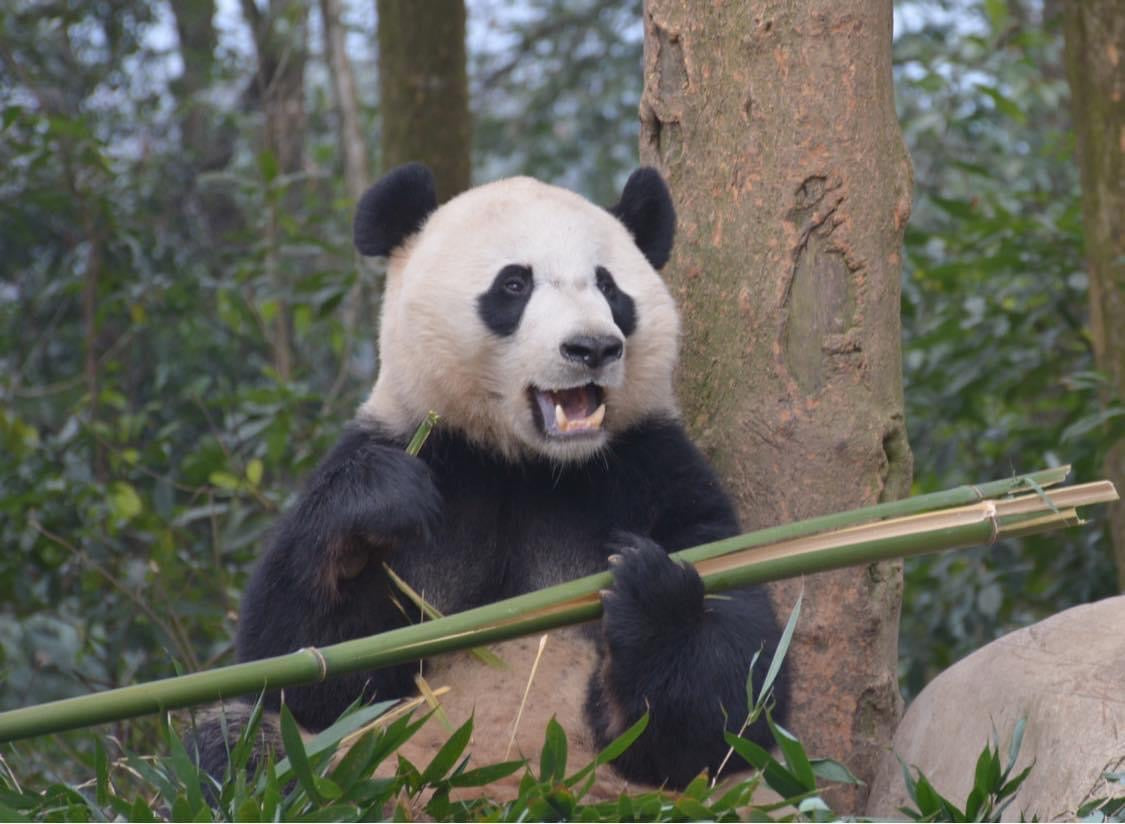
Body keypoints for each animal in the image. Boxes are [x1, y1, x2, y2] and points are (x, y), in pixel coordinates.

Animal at [193, 162, 787, 796]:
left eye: (609, 288)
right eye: (514, 285)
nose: (593, 347)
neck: (527, 463)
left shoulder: (651, 468)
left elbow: (736, 693)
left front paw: (650, 590)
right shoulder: (427, 449)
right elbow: (304, 669)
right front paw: (377, 505)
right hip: (341, 771)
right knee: (241, 746)